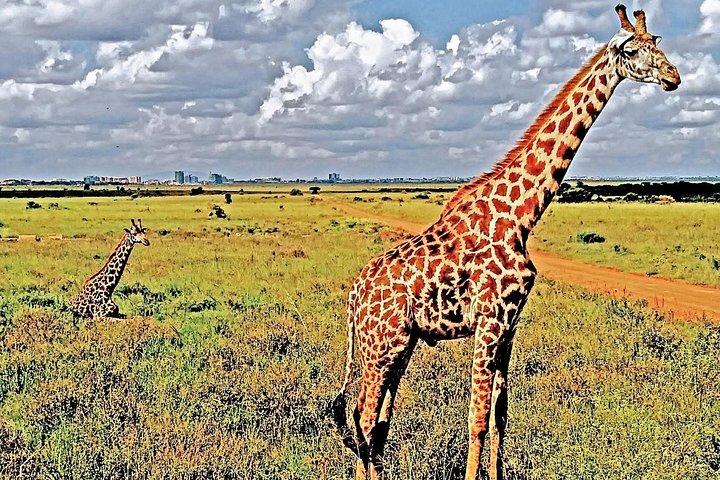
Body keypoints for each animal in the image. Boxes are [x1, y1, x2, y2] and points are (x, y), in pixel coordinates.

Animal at [332, 6, 680, 480]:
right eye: (631, 50)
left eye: (657, 43)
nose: (673, 76)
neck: (520, 216)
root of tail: (354, 295)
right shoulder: (489, 321)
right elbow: (477, 418)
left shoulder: (510, 326)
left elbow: (500, 415)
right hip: (381, 345)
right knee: (364, 420)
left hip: (400, 345)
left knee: (375, 424)